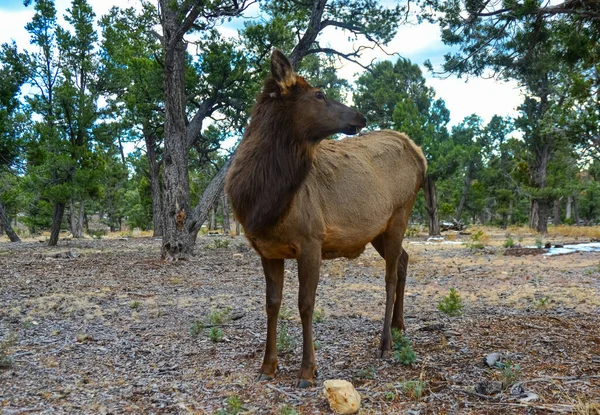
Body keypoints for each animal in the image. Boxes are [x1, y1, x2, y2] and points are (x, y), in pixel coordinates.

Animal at [225, 50, 426, 388]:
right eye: (319, 94)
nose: (361, 116)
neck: (262, 204)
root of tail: (419, 153)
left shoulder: (311, 240)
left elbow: (305, 303)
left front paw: (308, 370)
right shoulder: (266, 249)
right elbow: (272, 303)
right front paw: (268, 366)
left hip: (401, 212)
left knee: (389, 275)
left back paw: (385, 342)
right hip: (378, 230)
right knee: (404, 259)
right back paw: (400, 326)